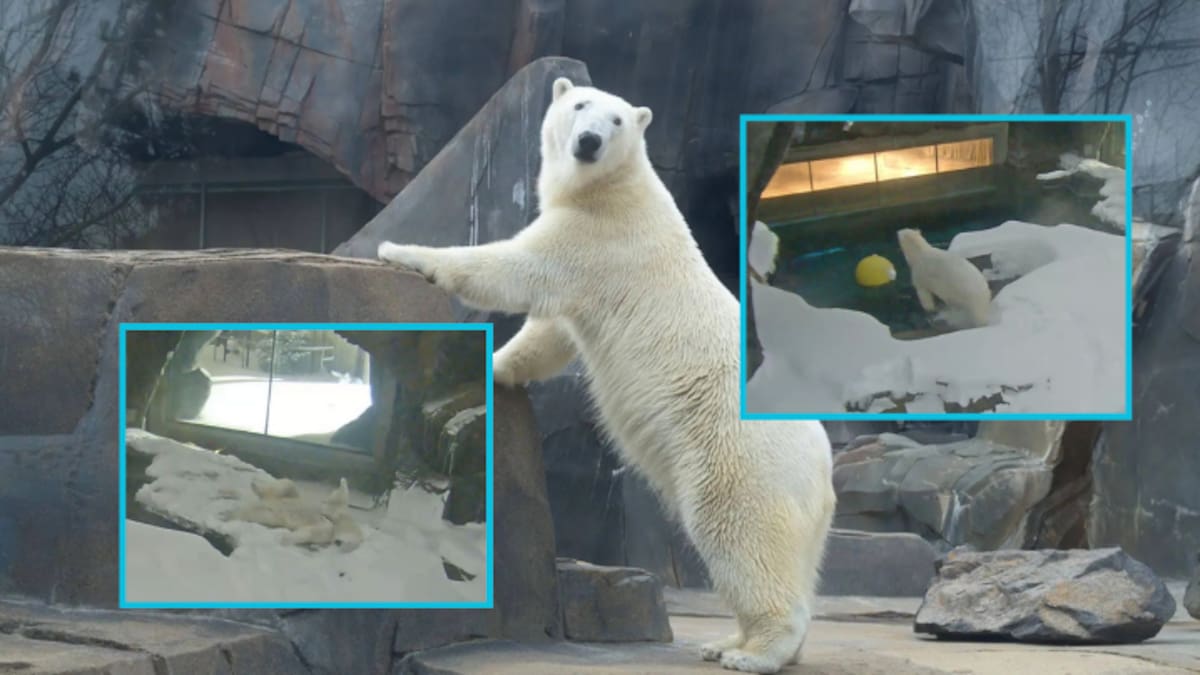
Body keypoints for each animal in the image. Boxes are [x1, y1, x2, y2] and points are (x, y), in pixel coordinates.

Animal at [377, 77, 836, 674]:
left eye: (616, 121)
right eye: (579, 106)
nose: (589, 141)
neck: (616, 189)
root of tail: (825, 468)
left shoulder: (598, 238)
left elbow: (515, 269)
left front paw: (402, 251)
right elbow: (551, 334)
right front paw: (498, 368)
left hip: (743, 461)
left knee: (741, 538)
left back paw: (752, 653)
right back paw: (728, 641)